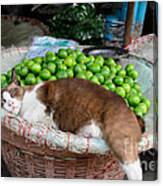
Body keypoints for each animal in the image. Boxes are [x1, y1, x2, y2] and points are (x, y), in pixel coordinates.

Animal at [1, 69, 144, 180]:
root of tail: (130, 109)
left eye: (13, 93)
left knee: (135, 169)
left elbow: (30, 115)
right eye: (3, 101)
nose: (10, 104)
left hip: (119, 140)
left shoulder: (41, 105)